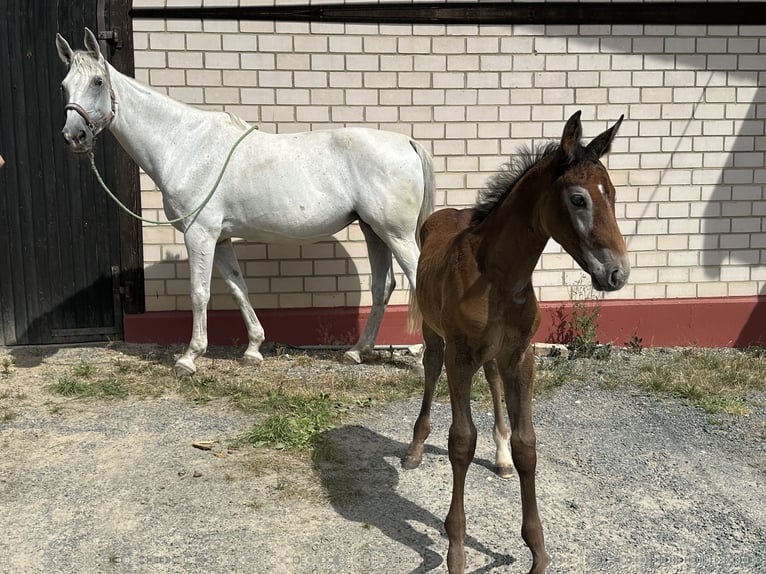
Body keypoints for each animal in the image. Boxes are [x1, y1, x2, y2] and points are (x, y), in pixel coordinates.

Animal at [57, 29, 436, 376]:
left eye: (97, 81)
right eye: (64, 85)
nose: (74, 136)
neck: (183, 144)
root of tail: (407, 142)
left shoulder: (200, 234)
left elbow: (200, 293)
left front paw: (188, 358)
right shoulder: (221, 238)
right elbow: (239, 288)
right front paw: (253, 349)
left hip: (396, 234)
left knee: (417, 281)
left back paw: (421, 359)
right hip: (373, 230)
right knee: (382, 286)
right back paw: (357, 352)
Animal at [404, 112, 628, 574]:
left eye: (613, 195)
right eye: (578, 200)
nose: (618, 273)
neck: (498, 277)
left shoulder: (521, 356)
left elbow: (528, 446)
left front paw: (537, 551)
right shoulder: (460, 356)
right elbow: (460, 442)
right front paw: (456, 551)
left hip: (494, 355)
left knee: (491, 380)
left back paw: (501, 456)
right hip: (435, 335)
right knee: (430, 369)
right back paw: (416, 448)